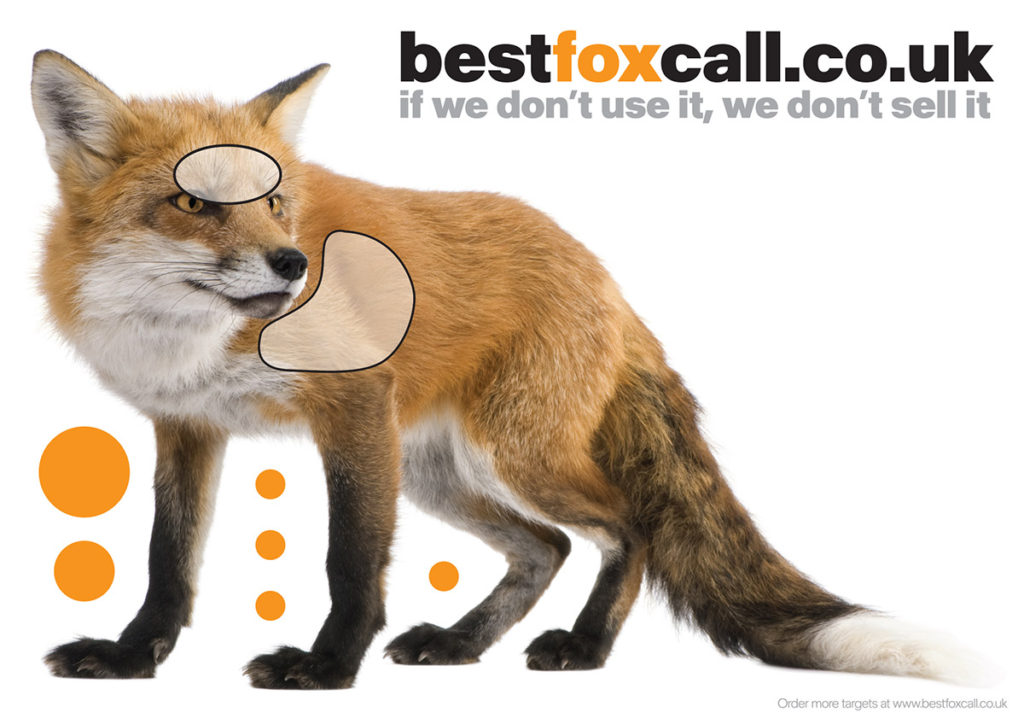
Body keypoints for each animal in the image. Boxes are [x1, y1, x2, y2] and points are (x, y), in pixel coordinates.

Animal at [32, 50, 983, 689]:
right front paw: (131, 656)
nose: (294, 264)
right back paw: (460, 643)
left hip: (507, 454)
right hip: (436, 473)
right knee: (546, 547)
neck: (192, 337)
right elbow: (168, 561)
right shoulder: (188, 425)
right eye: (190, 201)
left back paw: (586, 648)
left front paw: (330, 667)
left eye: (274, 202)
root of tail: (601, 273)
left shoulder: (352, 408)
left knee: (626, 527)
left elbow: (350, 561)